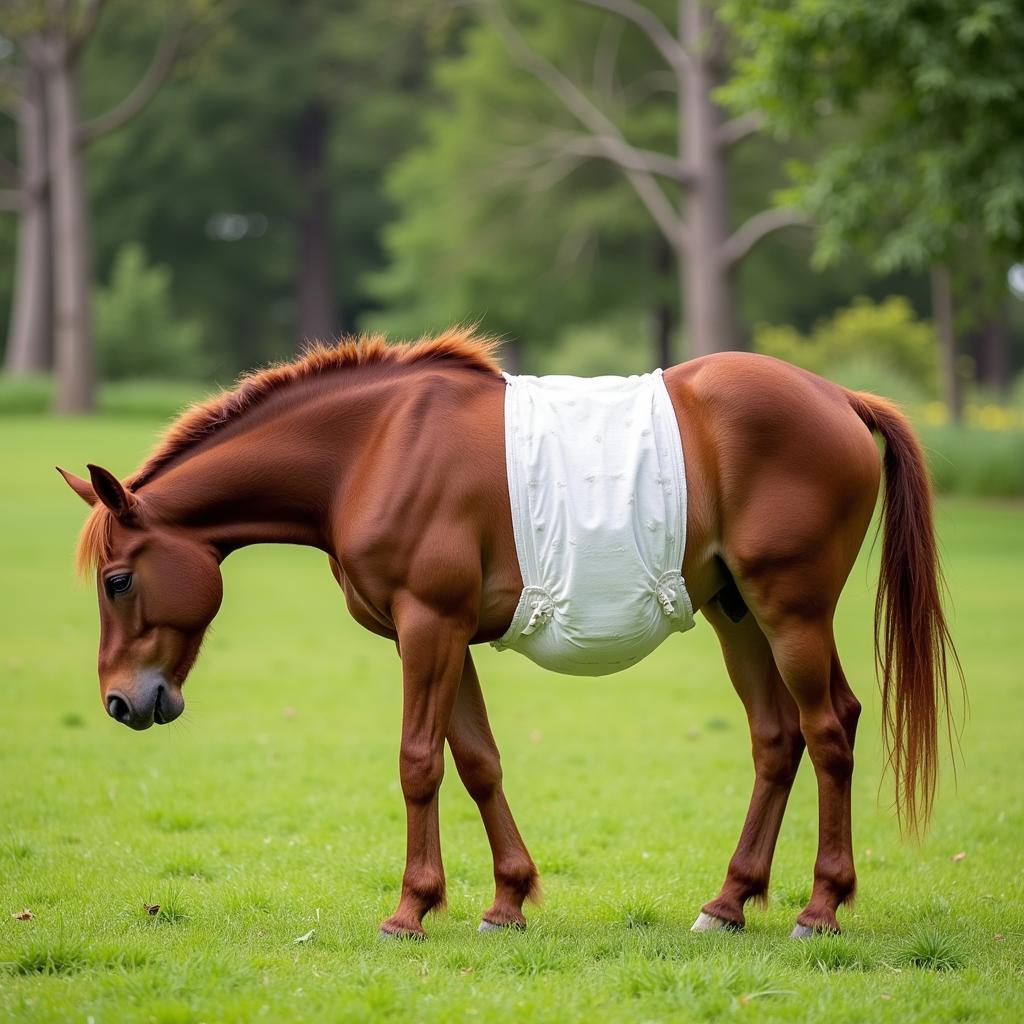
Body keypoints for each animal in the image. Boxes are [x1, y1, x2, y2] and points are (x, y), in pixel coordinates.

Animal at [61, 325, 958, 937]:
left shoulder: (428, 627)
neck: (372, 449)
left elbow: (419, 763)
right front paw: (505, 899)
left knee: (828, 730)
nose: (120, 702)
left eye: (117, 580)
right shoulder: (438, 637)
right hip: (738, 616)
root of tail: (840, 398)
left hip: (790, 612)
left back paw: (820, 907)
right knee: (779, 738)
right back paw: (729, 901)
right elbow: (477, 762)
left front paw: (410, 910)